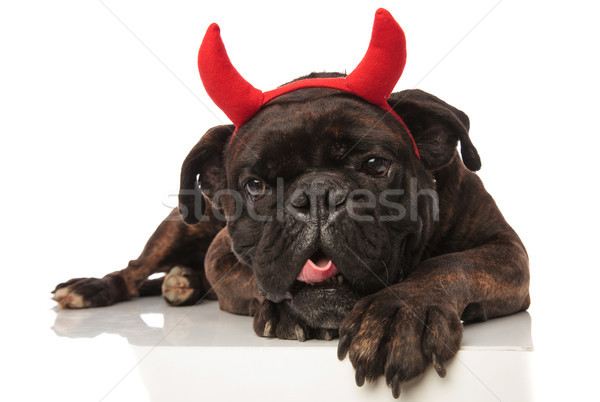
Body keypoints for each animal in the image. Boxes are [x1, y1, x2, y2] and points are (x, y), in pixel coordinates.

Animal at [54, 9, 528, 398]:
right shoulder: (221, 258)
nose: (317, 194)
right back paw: (95, 287)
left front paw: (401, 311)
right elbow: (255, 279)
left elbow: (449, 264)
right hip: (178, 224)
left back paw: (180, 282)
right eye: (256, 185)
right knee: (134, 270)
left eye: (376, 164)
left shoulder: (507, 251)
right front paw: (282, 311)